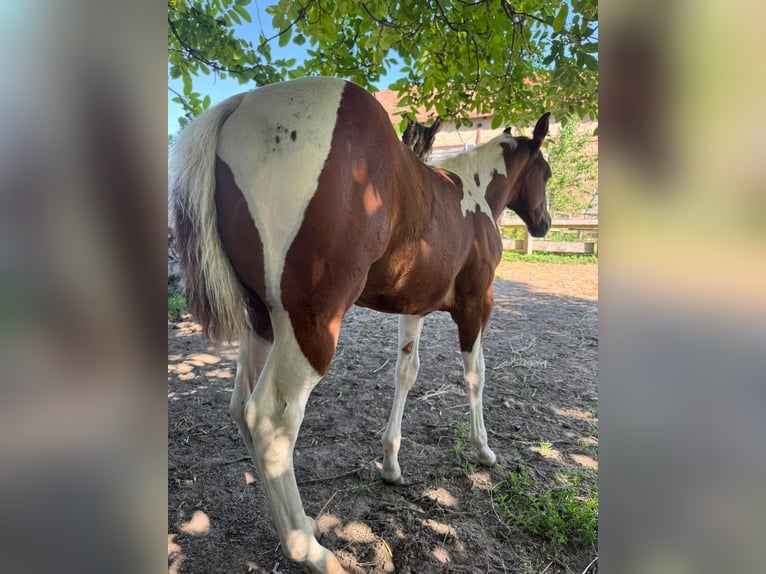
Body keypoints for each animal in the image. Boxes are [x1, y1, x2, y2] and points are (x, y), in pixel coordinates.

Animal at [170, 76, 551, 574]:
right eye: (546, 172)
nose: (544, 223)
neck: (472, 195)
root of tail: (240, 106)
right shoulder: (475, 305)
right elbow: (476, 375)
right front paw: (483, 450)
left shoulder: (414, 307)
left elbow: (406, 374)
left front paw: (390, 464)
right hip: (311, 325)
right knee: (271, 419)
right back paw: (312, 551)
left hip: (262, 321)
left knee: (240, 408)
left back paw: (301, 523)